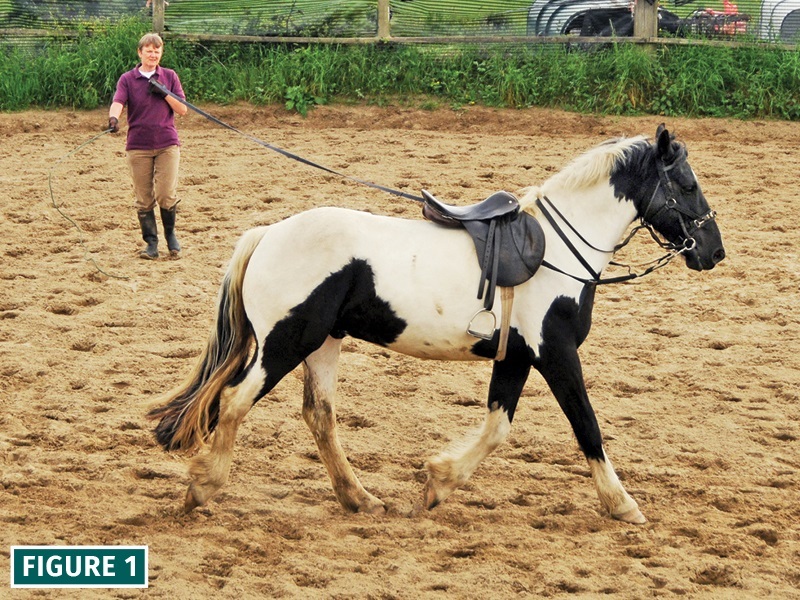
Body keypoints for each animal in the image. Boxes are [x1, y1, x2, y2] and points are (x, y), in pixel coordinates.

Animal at [148, 124, 724, 524]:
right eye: (687, 185)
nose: (714, 252)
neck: (558, 250)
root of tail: (268, 233)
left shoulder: (516, 357)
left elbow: (497, 428)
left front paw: (438, 484)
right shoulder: (556, 353)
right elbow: (587, 426)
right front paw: (622, 504)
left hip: (322, 344)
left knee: (319, 416)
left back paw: (360, 499)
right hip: (286, 343)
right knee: (234, 402)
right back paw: (203, 488)